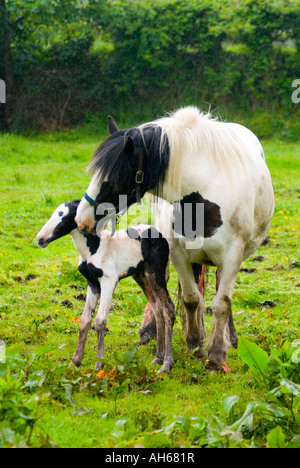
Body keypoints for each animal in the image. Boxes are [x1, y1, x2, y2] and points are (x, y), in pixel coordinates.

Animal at [35, 201, 176, 372]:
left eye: (65, 216)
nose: (40, 239)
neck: (94, 248)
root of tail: (160, 235)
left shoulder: (108, 281)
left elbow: (100, 320)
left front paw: (98, 365)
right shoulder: (92, 284)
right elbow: (85, 320)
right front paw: (74, 363)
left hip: (155, 275)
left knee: (168, 310)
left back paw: (166, 364)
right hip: (141, 277)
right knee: (157, 309)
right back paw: (157, 358)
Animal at [75, 107, 274, 372]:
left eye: (112, 179)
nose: (81, 219)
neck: (202, 194)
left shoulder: (233, 255)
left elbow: (221, 303)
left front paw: (216, 355)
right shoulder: (178, 253)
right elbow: (191, 299)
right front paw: (194, 344)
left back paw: (229, 338)